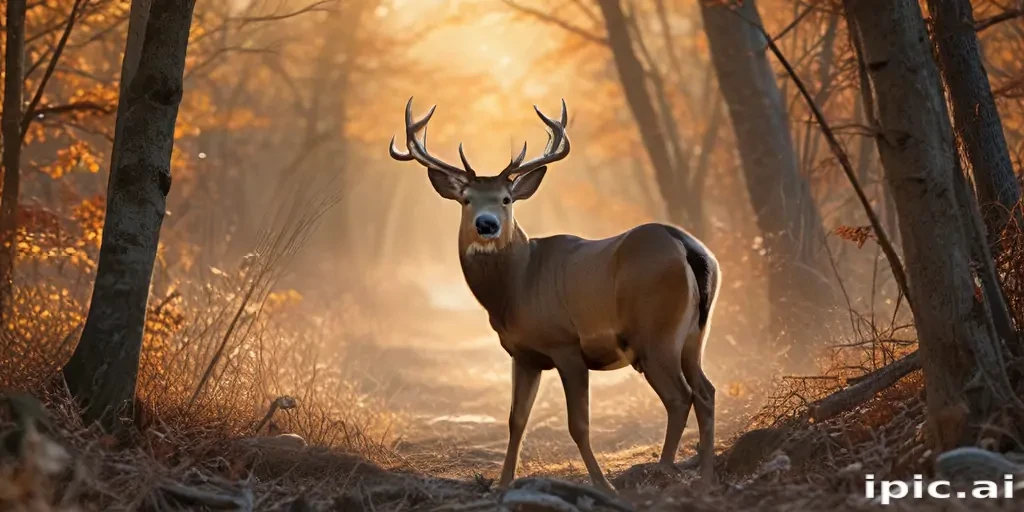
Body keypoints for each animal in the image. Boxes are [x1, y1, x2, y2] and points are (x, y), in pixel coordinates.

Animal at [388, 98, 720, 494]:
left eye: (506, 199)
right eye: (466, 200)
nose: (487, 225)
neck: (518, 286)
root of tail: (687, 246)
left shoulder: (566, 345)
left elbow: (578, 425)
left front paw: (603, 485)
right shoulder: (524, 354)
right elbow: (516, 419)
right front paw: (502, 484)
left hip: (656, 331)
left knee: (679, 397)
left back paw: (665, 471)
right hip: (694, 334)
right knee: (706, 392)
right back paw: (705, 477)